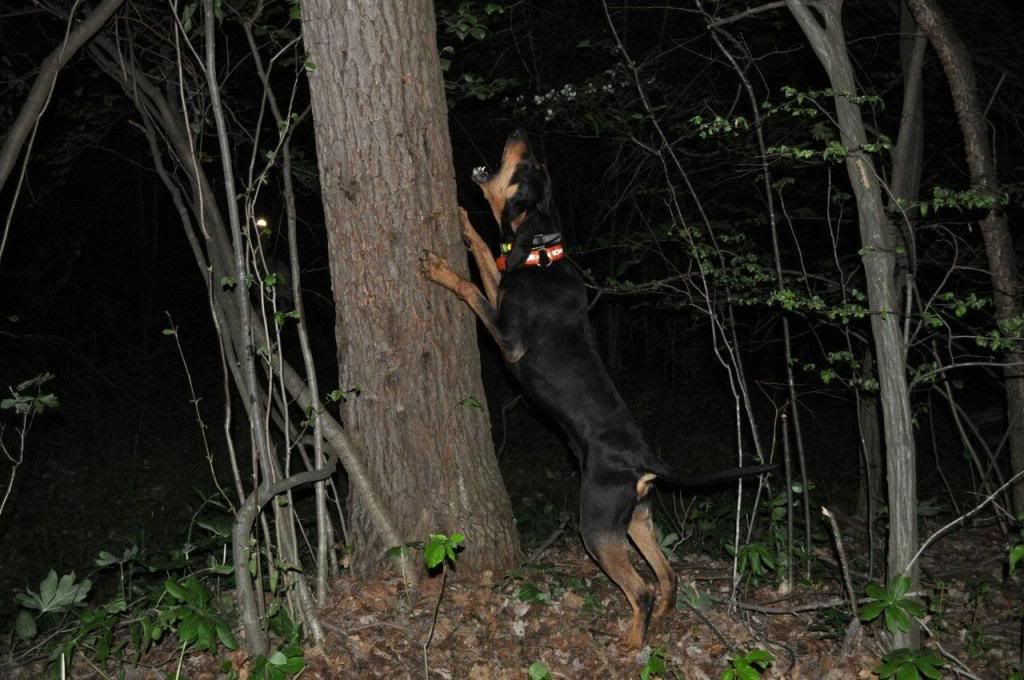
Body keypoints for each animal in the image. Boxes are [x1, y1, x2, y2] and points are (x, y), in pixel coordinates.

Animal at [420, 129, 776, 650]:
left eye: (527, 168)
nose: (521, 134)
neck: (541, 254)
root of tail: (643, 459)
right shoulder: (503, 280)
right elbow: (487, 254)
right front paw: (466, 226)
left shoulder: (508, 341)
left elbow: (470, 287)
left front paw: (441, 269)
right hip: (636, 518)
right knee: (669, 575)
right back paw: (661, 620)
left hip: (597, 523)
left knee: (641, 588)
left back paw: (631, 643)